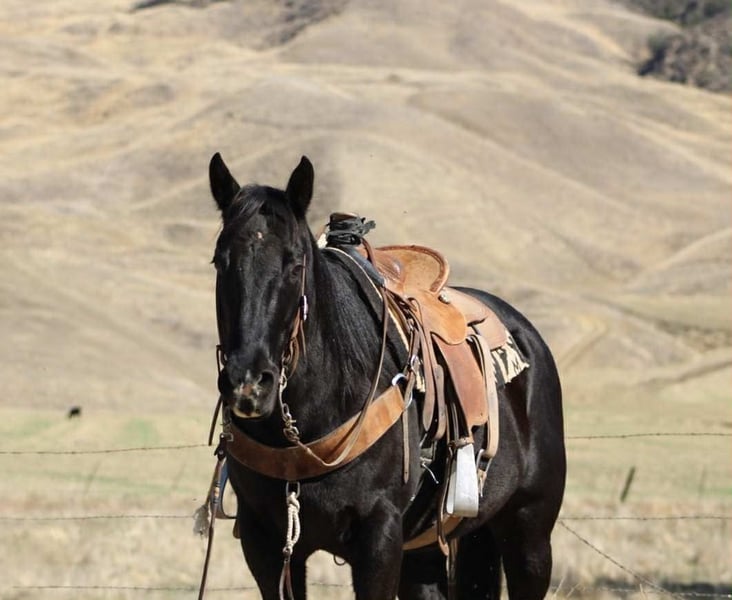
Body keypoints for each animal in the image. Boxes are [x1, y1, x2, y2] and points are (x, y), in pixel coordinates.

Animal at [205, 152, 566, 600]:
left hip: (529, 535)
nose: (249, 384)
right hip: (439, 546)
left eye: (295, 264)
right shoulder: (266, 541)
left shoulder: (379, 535)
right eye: (220, 262)